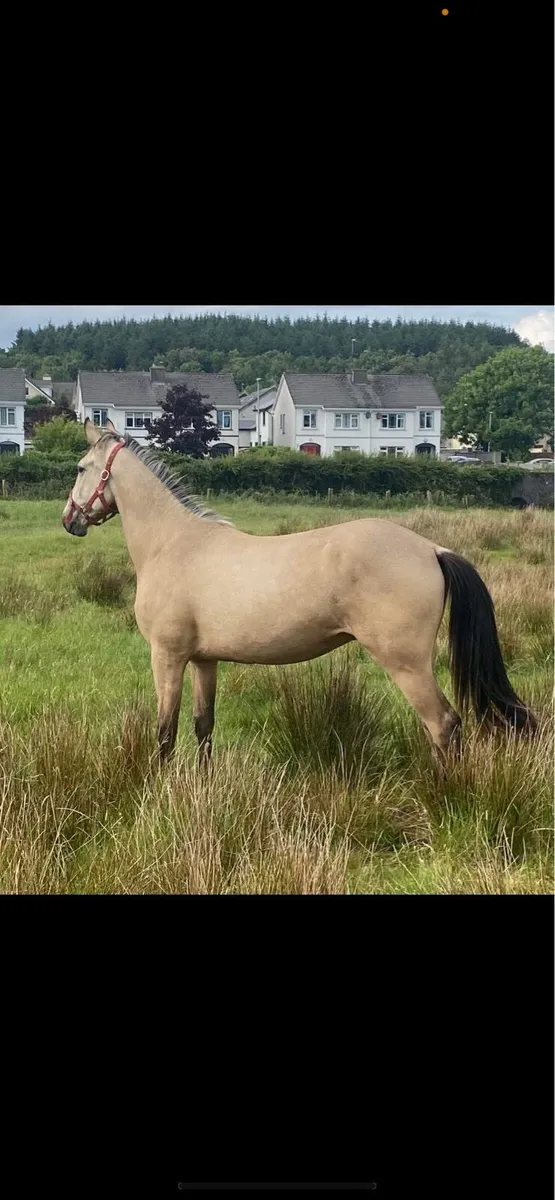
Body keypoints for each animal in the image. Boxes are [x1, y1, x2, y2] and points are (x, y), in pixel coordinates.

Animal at [62, 419, 536, 767]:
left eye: (82, 468)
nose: (70, 520)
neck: (174, 543)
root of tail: (432, 549)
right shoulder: (203, 661)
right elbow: (203, 726)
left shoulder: (167, 657)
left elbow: (165, 734)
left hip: (407, 665)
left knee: (443, 725)